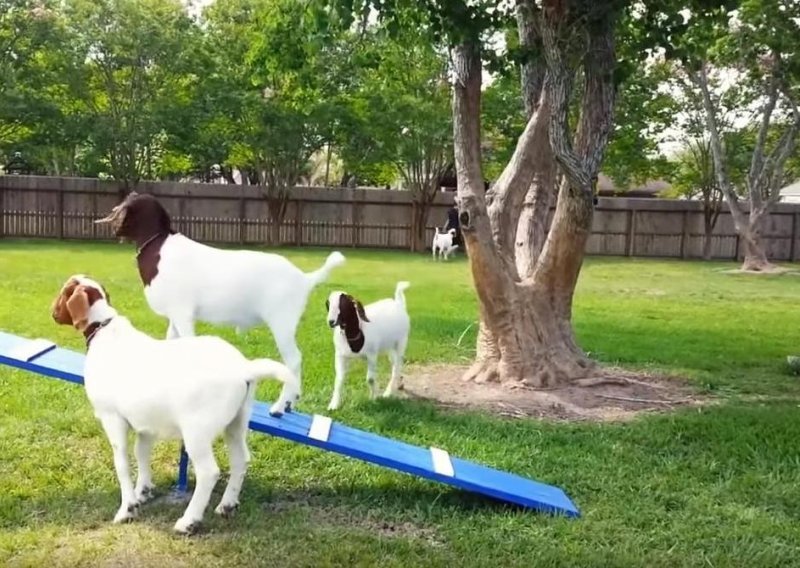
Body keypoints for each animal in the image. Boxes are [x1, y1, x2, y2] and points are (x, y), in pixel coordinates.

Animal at [50, 274, 300, 532]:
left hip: (197, 431)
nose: (53, 313)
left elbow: (121, 462)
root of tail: (243, 368)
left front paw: (127, 509)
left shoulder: (112, 417)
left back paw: (188, 521)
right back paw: (227, 505)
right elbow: (141, 453)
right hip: (237, 421)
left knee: (208, 472)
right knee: (241, 459)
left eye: (64, 291)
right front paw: (143, 492)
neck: (103, 328)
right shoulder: (145, 424)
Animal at [93, 192, 344, 408]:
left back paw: (281, 406)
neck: (159, 249)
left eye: (125, 206)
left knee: (293, 360)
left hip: (282, 323)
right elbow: (171, 342)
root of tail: (304, 278)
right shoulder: (174, 316)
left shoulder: (183, 314)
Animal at [324, 282, 412, 410]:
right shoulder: (340, 356)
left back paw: (388, 392)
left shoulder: (372, 354)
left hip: (401, 342)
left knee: (397, 365)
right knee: (395, 363)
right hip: (389, 347)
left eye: (343, 304)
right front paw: (334, 405)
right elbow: (339, 379)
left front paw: (374, 397)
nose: (331, 322)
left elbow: (370, 379)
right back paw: (399, 384)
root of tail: (398, 303)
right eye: (328, 304)